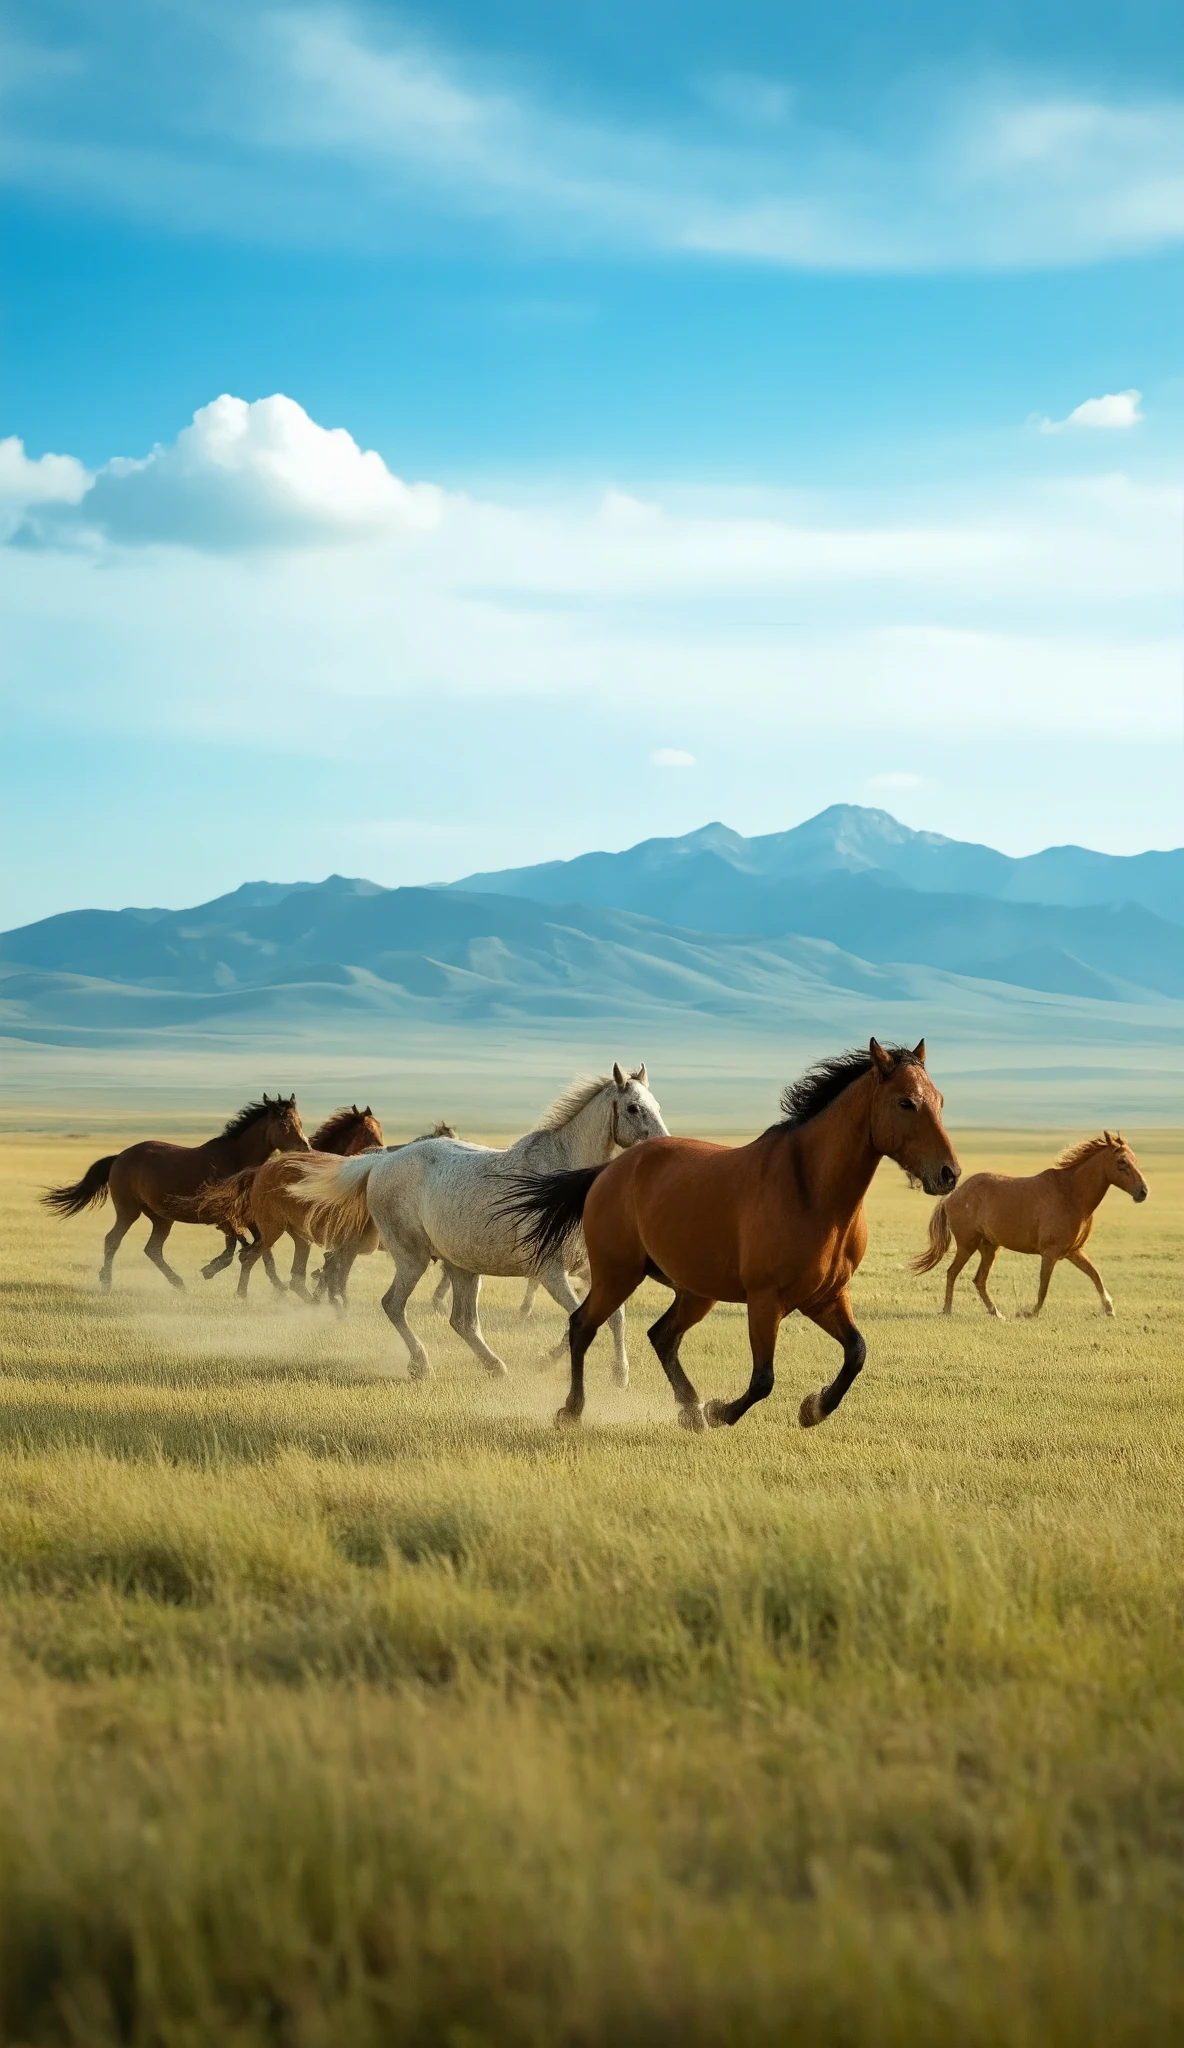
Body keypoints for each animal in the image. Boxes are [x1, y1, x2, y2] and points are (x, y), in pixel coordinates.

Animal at [42, 1095, 309, 1292]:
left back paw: (178, 1282)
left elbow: (261, 1249)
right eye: (283, 1124)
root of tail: (118, 1157)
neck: (236, 1160)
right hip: (129, 1211)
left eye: (300, 1122)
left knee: (152, 1249)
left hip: (161, 1218)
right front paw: (212, 1268)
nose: (305, 1149)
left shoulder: (248, 1216)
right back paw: (107, 1282)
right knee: (112, 1240)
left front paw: (278, 1286)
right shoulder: (225, 1215)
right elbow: (237, 1246)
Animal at [186, 1106, 386, 1302]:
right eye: (369, 1132)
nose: (381, 1151)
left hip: (294, 1232)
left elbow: (329, 1266)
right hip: (274, 1228)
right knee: (249, 1255)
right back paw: (241, 1292)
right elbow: (331, 1266)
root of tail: (258, 1172)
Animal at [279, 1065, 666, 1380]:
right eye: (633, 1108)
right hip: (412, 1258)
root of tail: (380, 1162)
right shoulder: (551, 1273)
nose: (663, 1148)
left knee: (462, 1321)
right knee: (392, 1304)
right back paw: (422, 1365)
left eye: (658, 1106)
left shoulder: (587, 1270)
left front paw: (604, 1371)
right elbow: (589, 1319)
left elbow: (612, 1316)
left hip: (462, 1267)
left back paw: (495, 1366)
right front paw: (611, 1375)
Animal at [506, 1040, 959, 1433]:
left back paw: (689, 1409)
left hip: (694, 1291)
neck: (812, 1191)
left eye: (940, 1101)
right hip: (617, 1275)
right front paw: (722, 1410)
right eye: (906, 1102)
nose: (949, 1173)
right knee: (583, 1325)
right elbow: (763, 1379)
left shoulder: (826, 1297)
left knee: (662, 1336)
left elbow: (857, 1352)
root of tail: (608, 1171)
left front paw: (813, 1408)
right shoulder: (766, 1301)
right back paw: (572, 1410)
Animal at [912, 1131, 1148, 1319]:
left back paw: (996, 1313)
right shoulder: (1050, 1253)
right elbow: (1044, 1286)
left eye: (1134, 1159)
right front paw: (1029, 1312)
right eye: (1122, 1162)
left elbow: (1095, 1275)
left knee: (979, 1280)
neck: (1071, 1194)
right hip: (967, 1245)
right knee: (952, 1273)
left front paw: (1109, 1309)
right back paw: (947, 1310)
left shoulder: (1074, 1251)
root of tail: (952, 1196)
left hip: (989, 1248)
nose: (1143, 1192)